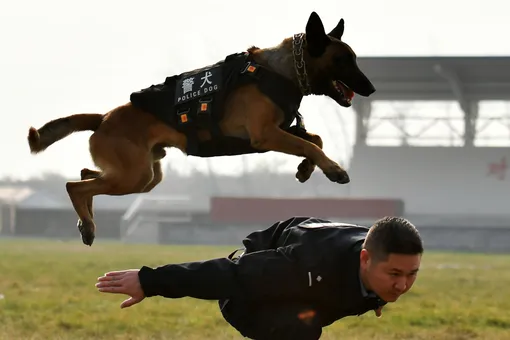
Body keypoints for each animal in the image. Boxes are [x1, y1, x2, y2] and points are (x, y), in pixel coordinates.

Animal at [25, 9, 374, 244]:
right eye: (343, 60)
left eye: (354, 58)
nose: (370, 89)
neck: (283, 70)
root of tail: (103, 117)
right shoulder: (265, 135)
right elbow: (309, 142)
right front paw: (333, 169)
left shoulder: (280, 130)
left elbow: (313, 139)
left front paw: (307, 169)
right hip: (134, 176)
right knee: (75, 186)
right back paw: (87, 225)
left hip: (143, 177)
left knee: (86, 176)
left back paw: (86, 219)